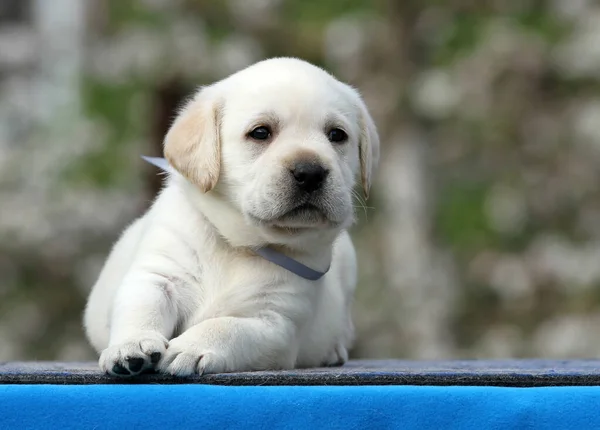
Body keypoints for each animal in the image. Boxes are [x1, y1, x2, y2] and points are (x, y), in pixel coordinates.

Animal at [83, 57, 380, 376]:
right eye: (260, 132)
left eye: (337, 135)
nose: (310, 172)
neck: (240, 244)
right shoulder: (159, 274)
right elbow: (141, 306)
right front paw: (131, 345)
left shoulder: (275, 324)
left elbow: (227, 327)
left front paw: (191, 346)